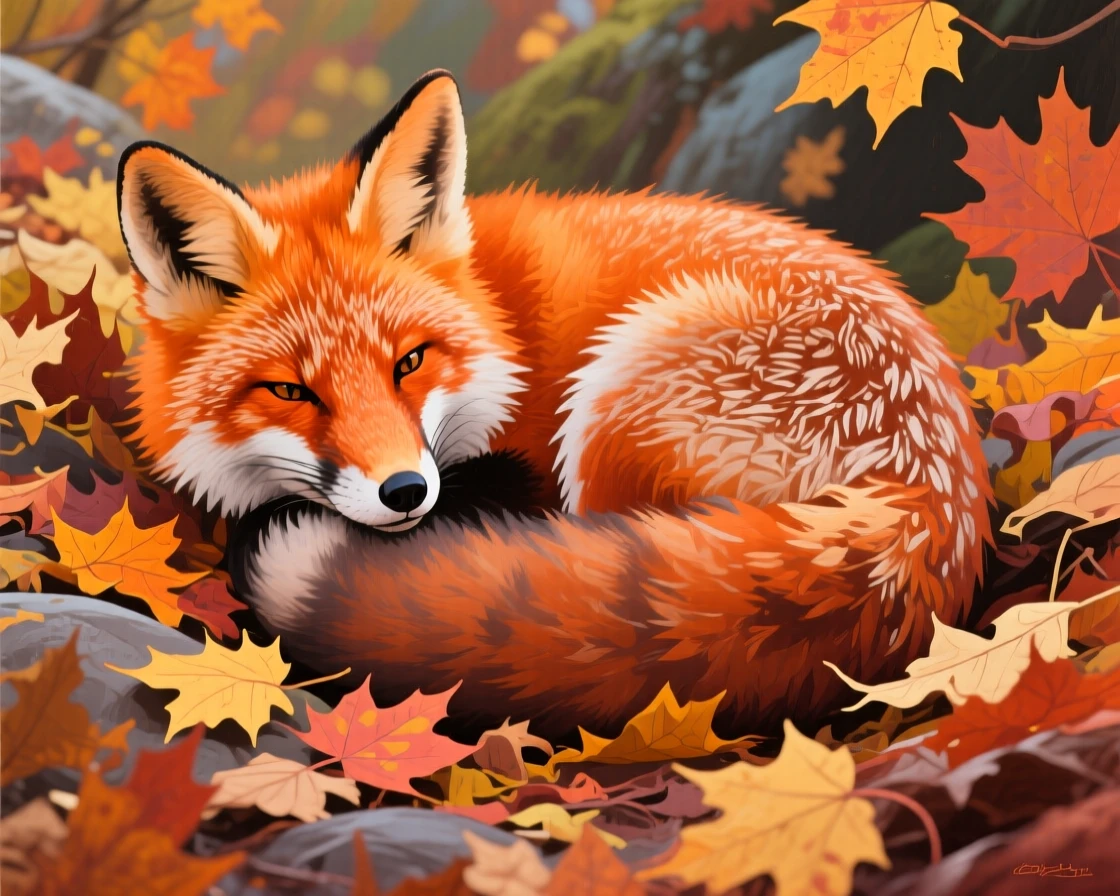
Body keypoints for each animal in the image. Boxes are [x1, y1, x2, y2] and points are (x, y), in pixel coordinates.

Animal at [117, 70, 991, 737]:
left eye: (409, 362)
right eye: (291, 391)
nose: (406, 492)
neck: (501, 321)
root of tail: (924, 508)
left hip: (613, 405)